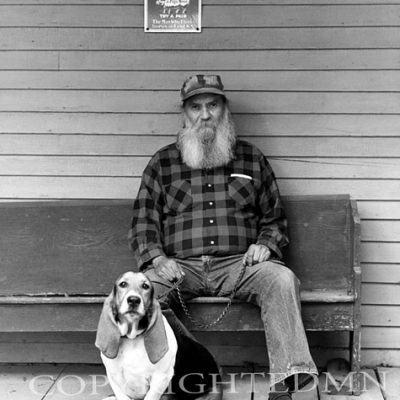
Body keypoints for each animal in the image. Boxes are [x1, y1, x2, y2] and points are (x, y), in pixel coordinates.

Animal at [95, 272, 223, 400]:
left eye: (145, 286)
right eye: (123, 284)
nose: (133, 300)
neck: (132, 339)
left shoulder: (161, 378)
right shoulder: (115, 378)